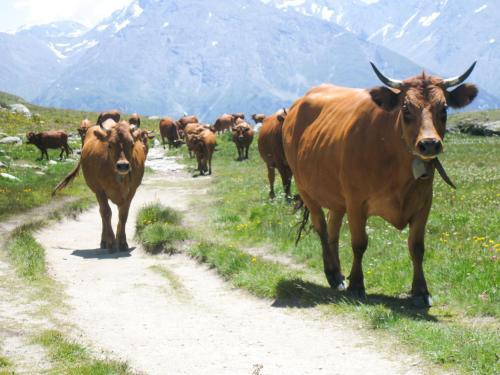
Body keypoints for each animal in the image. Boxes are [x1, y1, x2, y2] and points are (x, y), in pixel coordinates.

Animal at [282, 62, 476, 308]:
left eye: (444, 109)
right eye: (406, 110)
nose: (430, 144)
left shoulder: (424, 203)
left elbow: (417, 247)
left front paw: (421, 291)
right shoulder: (356, 202)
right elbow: (359, 243)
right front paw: (357, 285)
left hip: (337, 198)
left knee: (333, 229)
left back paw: (337, 274)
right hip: (306, 189)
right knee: (322, 229)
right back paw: (333, 274)